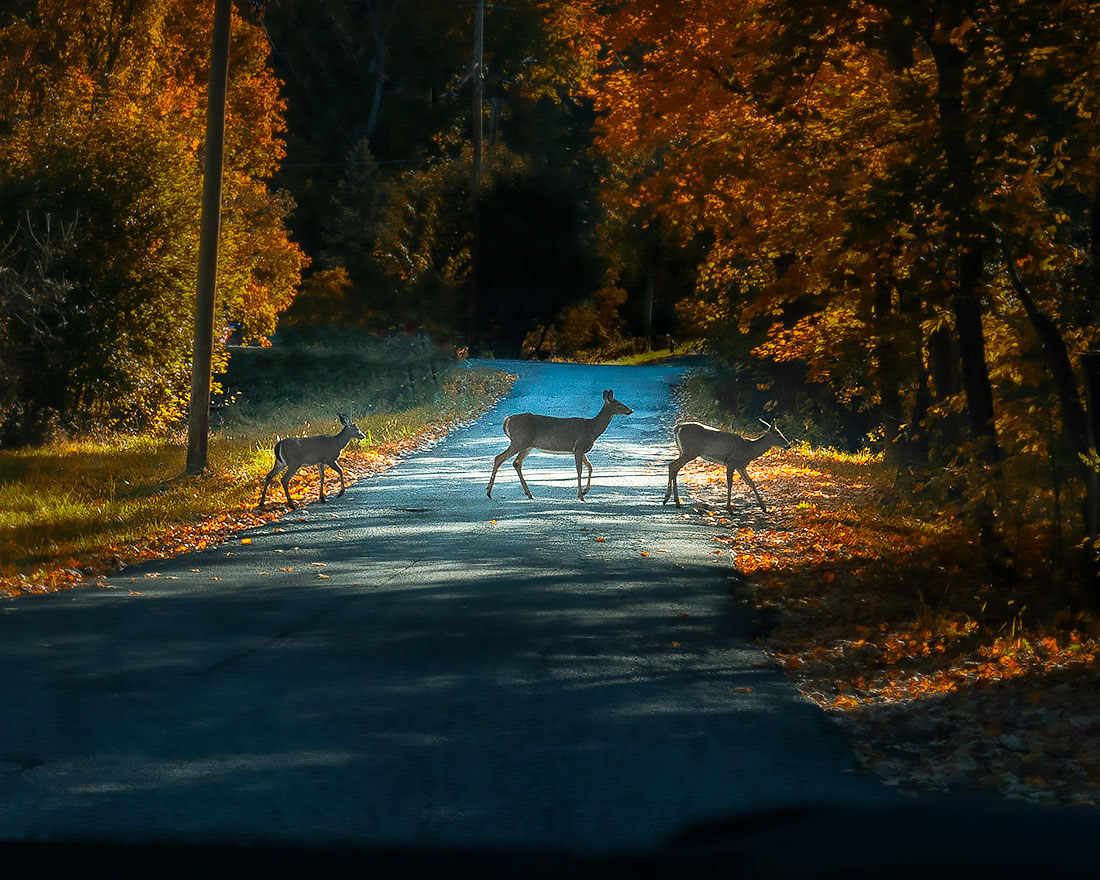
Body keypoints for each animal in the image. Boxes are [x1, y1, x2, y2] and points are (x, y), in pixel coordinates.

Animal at [486, 389, 633, 500]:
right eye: (619, 404)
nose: (631, 410)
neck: (592, 429)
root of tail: (507, 420)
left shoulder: (580, 450)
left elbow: (590, 467)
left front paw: (585, 491)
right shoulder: (578, 447)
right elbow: (579, 470)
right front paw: (581, 495)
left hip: (527, 445)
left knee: (516, 463)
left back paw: (529, 494)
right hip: (519, 441)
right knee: (499, 458)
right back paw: (489, 492)